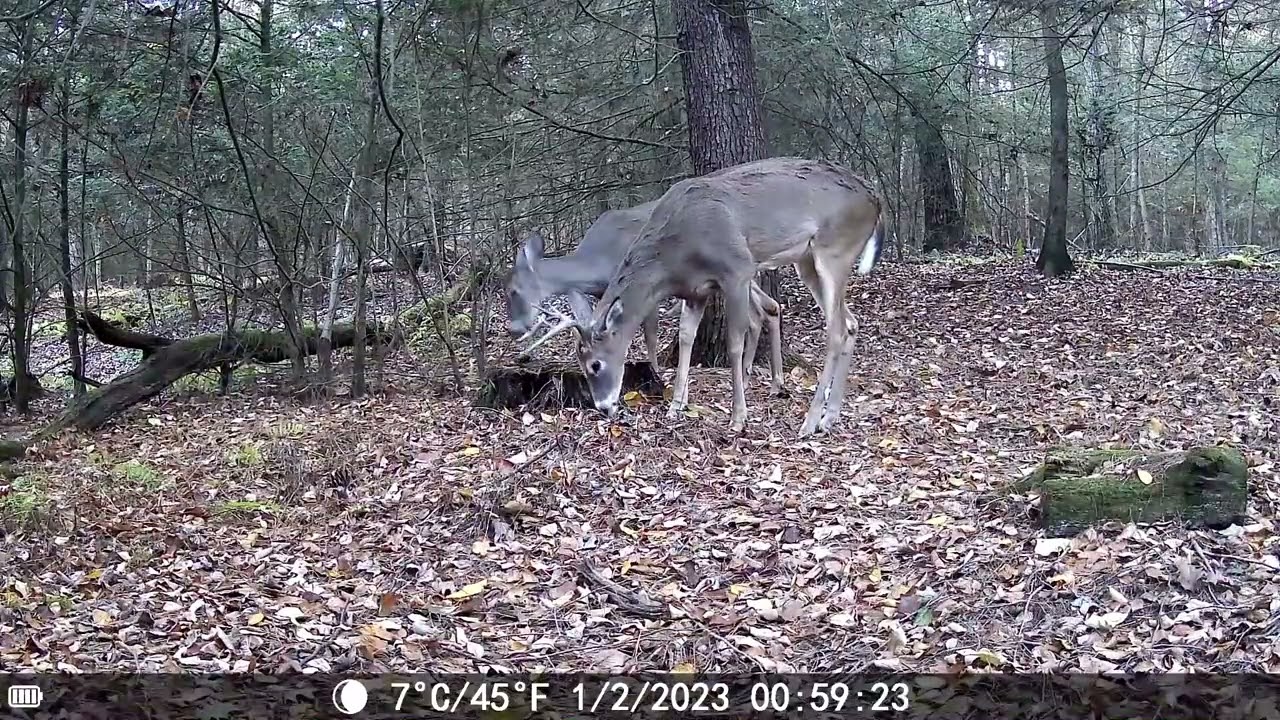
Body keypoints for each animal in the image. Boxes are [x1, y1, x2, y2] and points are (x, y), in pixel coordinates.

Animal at [505, 200, 786, 395]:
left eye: (513, 291)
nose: (513, 329)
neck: (596, 262)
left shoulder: (647, 289)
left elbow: (650, 335)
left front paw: (655, 373)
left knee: (762, 308)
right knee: (766, 309)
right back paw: (769, 381)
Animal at [564, 157, 882, 437]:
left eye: (595, 364)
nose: (604, 407)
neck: (675, 255)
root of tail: (876, 201)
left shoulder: (737, 269)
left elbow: (735, 343)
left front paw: (738, 417)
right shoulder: (696, 290)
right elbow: (686, 337)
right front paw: (676, 406)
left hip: (834, 249)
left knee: (836, 329)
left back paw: (810, 421)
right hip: (808, 261)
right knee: (851, 323)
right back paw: (829, 417)